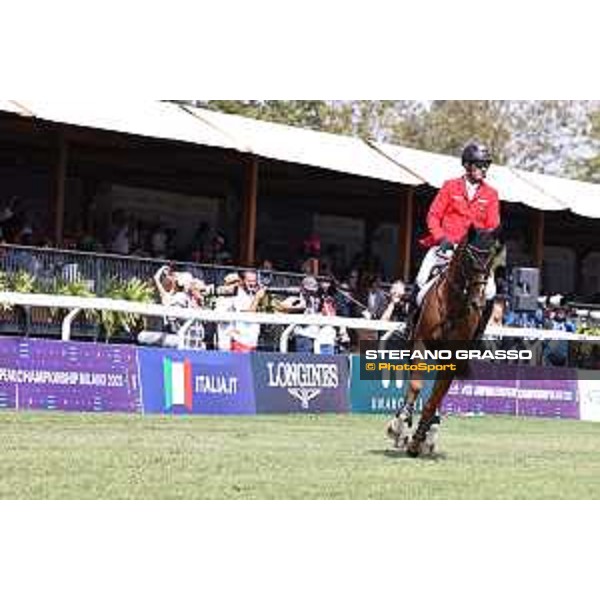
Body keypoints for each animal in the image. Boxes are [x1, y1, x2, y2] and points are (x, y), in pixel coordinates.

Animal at [386, 227, 500, 458]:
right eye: (469, 258)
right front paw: (401, 425)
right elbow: (416, 385)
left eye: (492, 259)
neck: (453, 305)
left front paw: (419, 439)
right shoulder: (420, 344)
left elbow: (435, 398)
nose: (478, 303)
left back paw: (430, 431)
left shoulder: (453, 357)